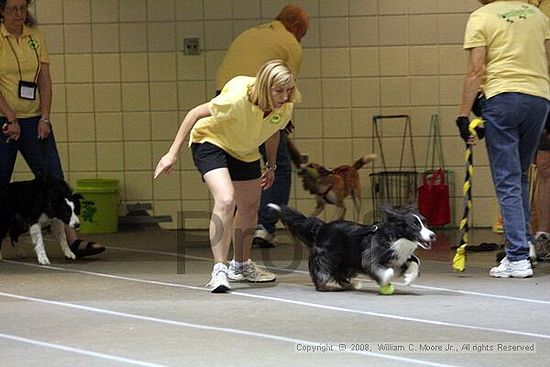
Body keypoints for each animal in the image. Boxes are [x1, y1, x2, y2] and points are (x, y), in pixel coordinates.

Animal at [268, 204, 436, 294]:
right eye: (415, 225)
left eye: (425, 222)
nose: (433, 235)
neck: (397, 236)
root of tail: (322, 227)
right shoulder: (370, 256)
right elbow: (384, 270)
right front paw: (386, 279)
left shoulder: (401, 255)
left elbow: (416, 261)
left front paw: (409, 278)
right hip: (328, 257)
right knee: (322, 272)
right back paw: (325, 286)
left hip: (347, 262)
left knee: (339, 274)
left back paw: (352, 285)